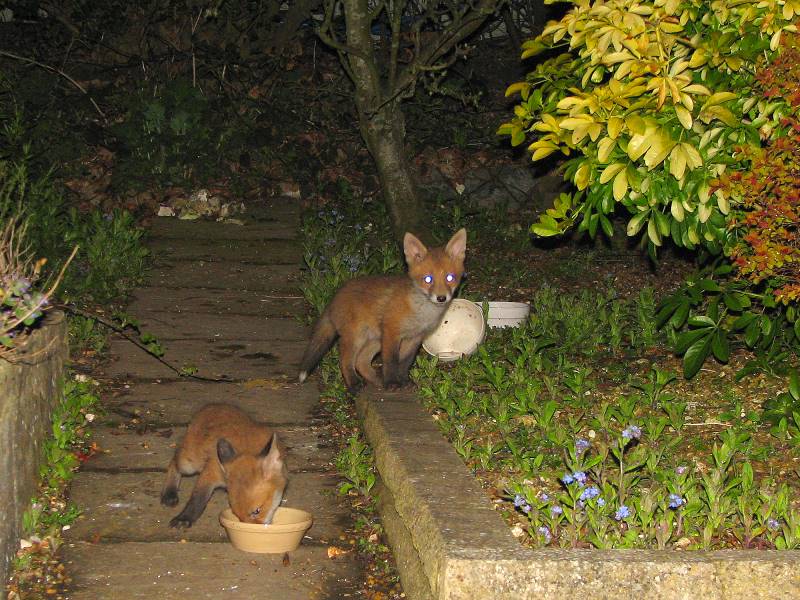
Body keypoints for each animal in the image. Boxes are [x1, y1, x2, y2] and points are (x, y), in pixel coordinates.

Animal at [298, 228, 467, 393]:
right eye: (428, 279)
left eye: (450, 278)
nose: (441, 298)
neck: (421, 313)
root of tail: (335, 297)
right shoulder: (392, 332)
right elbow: (391, 361)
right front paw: (392, 383)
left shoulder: (414, 338)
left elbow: (404, 362)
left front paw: (404, 381)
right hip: (357, 337)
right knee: (345, 360)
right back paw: (354, 384)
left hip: (375, 339)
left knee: (361, 361)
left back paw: (376, 380)